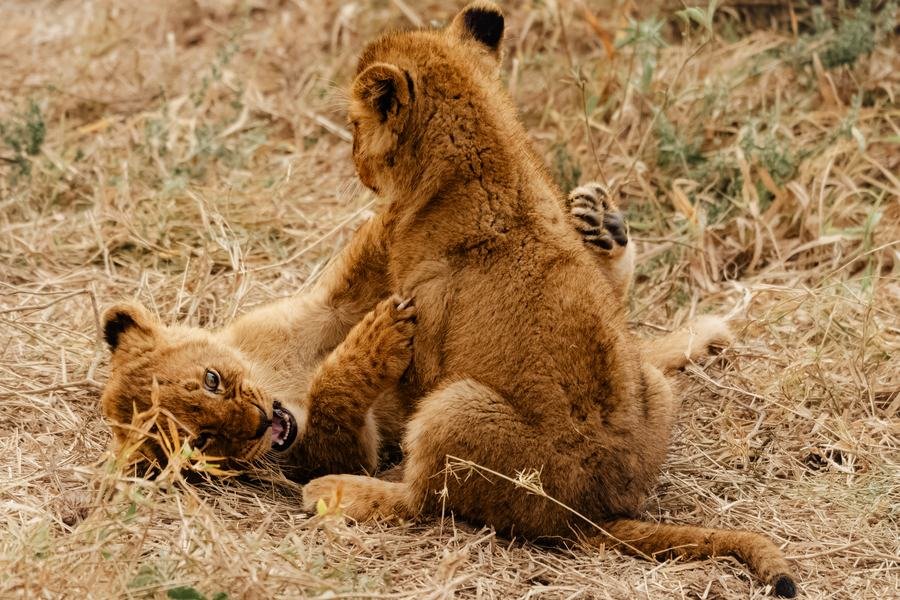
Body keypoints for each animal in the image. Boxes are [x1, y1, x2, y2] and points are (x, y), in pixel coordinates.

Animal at [300, 3, 797, 596]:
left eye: (355, 125)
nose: (354, 162)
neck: (488, 158)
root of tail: (589, 514)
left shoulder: (422, 338)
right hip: (651, 386)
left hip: (455, 404)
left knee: (423, 501)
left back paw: (337, 490)